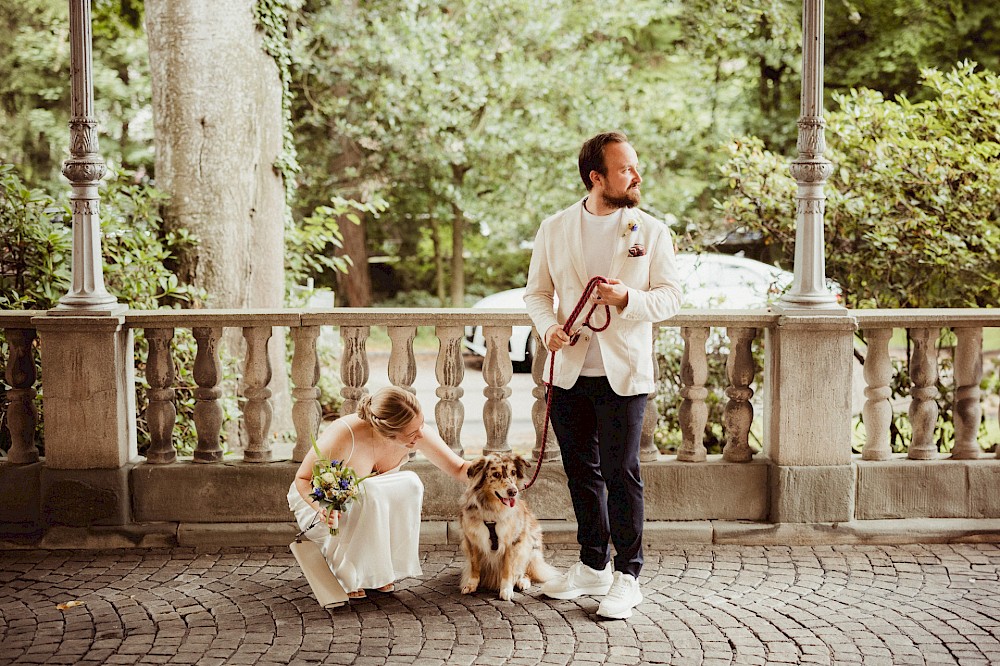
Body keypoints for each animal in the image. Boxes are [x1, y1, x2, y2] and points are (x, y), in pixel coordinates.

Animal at [458, 452, 556, 596]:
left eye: (513, 472)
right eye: (496, 474)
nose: (513, 492)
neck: (492, 510)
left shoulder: (513, 542)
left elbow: (508, 568)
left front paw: (506, 589)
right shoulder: (471, 540)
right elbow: (475, 565)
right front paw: (471, 584)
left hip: (530, 547)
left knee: (526, 570)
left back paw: (522, 581)